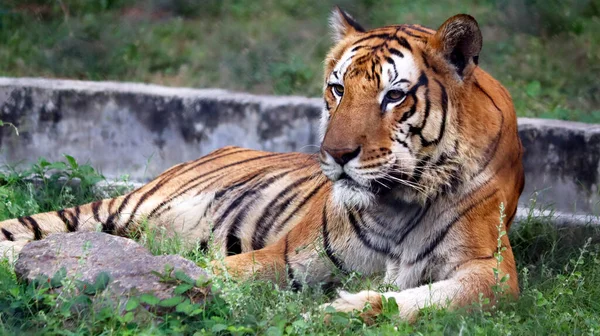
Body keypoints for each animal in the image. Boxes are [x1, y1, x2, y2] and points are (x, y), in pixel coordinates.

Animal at [0, 7, 524, 322]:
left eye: (393, 96)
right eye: (337, 88)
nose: (335, 155)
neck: (396, 203)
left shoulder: (493, 272)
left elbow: (429, 300)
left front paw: (342, 312)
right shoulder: (286, 256)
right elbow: (204, 275)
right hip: (119, 210)